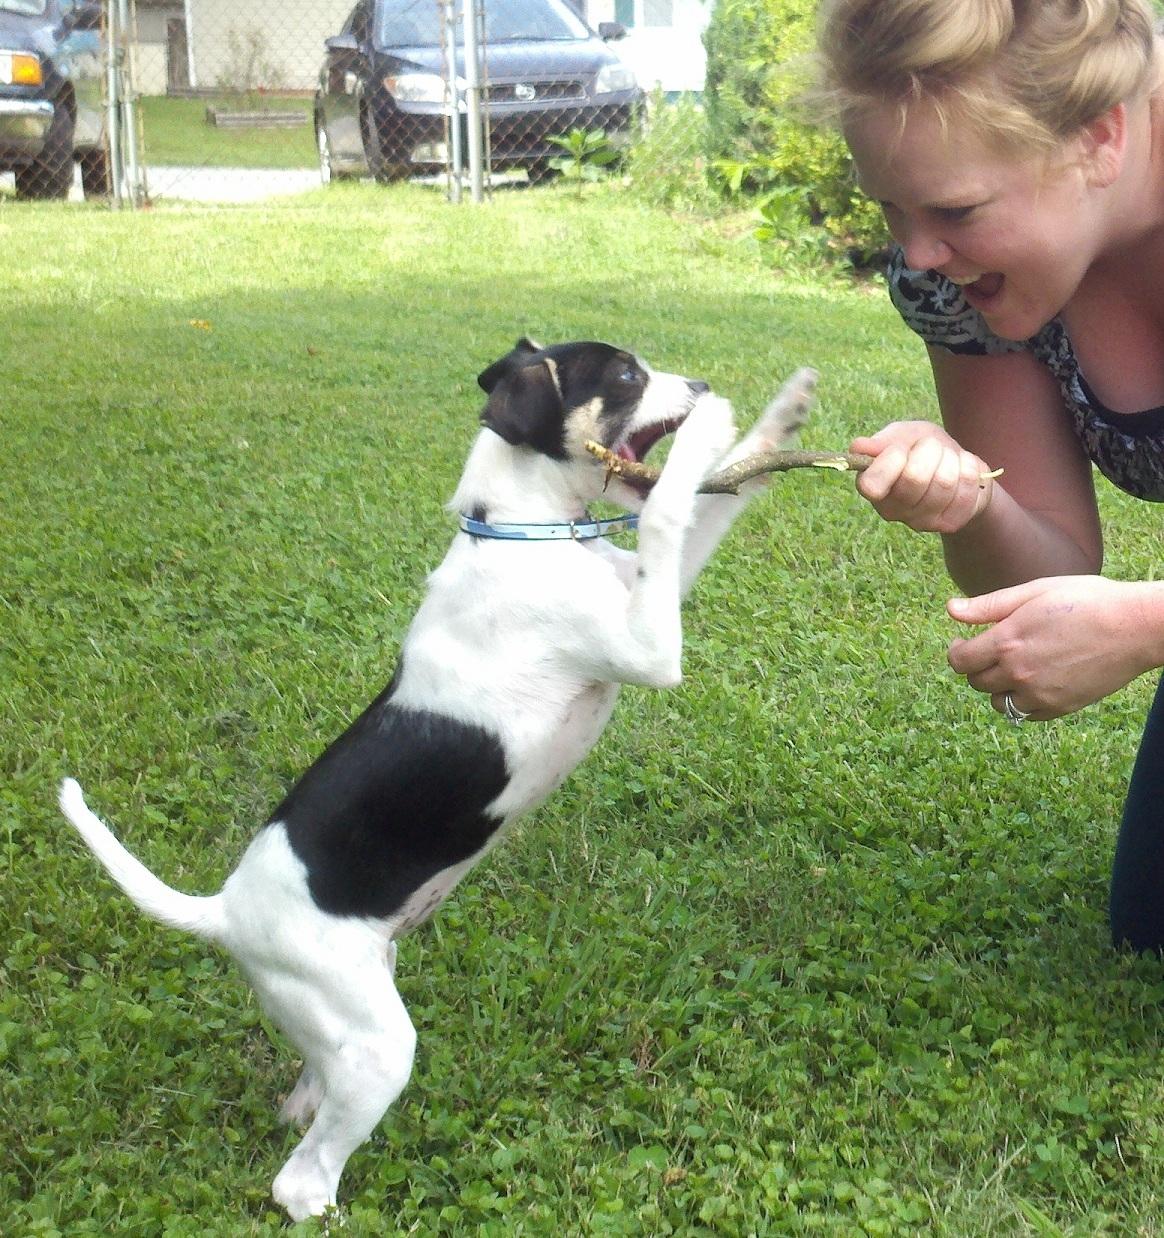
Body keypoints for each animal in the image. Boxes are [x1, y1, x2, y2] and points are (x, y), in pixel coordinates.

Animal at [59, 339, 812, 1218]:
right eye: (626, 376)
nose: (698, 384)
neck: (525, 532)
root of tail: (224, 912)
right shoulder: (646, 644)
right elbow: (668, 509)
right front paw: (712, 428)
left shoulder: (652, 590)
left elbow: (709, 503)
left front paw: (782, 415)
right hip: (379, 1043)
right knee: (300, 1178)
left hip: (340, 1021)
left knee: (306, 1101)